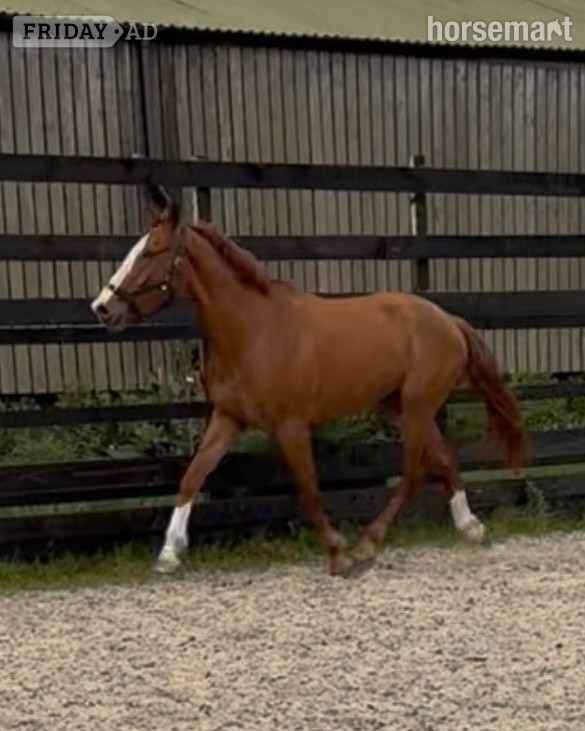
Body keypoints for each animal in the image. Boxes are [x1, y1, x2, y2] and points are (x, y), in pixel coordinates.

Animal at [91, 188, 526, 577]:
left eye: (150, 252)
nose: (102, 309)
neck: (254, 331)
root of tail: (449, 321)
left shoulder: (291, 426)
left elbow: (309, 487)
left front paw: (338, 555)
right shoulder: (228, 418)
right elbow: (192, 476)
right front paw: (169, 554)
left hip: (418, 406)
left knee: (413, 471)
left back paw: (369, 543)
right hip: (400, 406)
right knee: (444, 457)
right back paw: (470, 527)